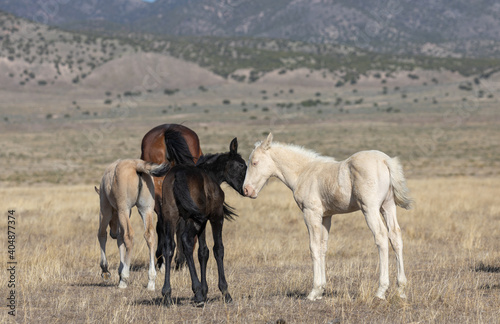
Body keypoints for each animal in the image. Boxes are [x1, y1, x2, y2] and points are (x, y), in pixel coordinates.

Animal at [96, 159, 171, 292]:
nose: (112, 233)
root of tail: (137, 165)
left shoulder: (107, 209)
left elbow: (102, 234)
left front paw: (106, 271)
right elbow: (120, 238)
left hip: (123, 209)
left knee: (128, 236)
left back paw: (124, 278)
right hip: (146, 210)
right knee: (150, 236)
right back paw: (151, 281)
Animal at [159, 137, 247, 306]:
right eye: (242, 165)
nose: (245, 190)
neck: (210, 175)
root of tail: (178, 175)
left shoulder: (200, 221)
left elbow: (203, 252)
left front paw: (205, 291)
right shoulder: (215, 217)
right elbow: (218, 249)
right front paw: (224, 292)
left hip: (171, 217)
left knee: (169, 247)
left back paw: (167, 294)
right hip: (195, 220)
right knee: (186, 241)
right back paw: (197, 292)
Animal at [241, 134, 410, 302]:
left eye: (254, 162)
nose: (246, 190)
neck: (303, 172)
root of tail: (385, 161)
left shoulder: (311, 213)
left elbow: (314, 247)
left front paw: (314, 291)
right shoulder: (326, 216)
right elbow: (323, 247)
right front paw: (321, 290)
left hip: (370, 209)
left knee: (381, 236)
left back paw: (381, 290)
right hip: (388, 206)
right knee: (395, 236)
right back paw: (401, 289)